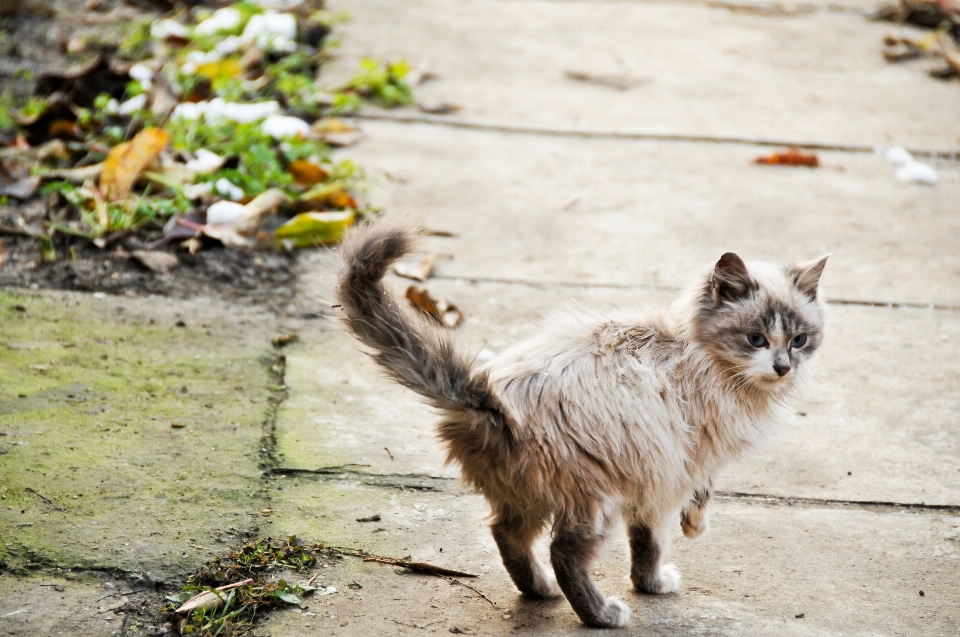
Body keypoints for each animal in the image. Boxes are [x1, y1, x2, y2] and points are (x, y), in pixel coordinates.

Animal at [336, 221, 824, 628]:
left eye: (800, 340)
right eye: (755, 339)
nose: (783, 367)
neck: (696, 352)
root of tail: (491, 402)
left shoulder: (657, 473)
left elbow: (645, 540)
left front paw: (653, 578)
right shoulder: (679, 464)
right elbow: (666, 529)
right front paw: (676, 554)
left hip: (524, 495)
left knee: (507, 536)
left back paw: (539, 591)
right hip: (593, 501)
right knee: (563, 554)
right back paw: (601, 615)